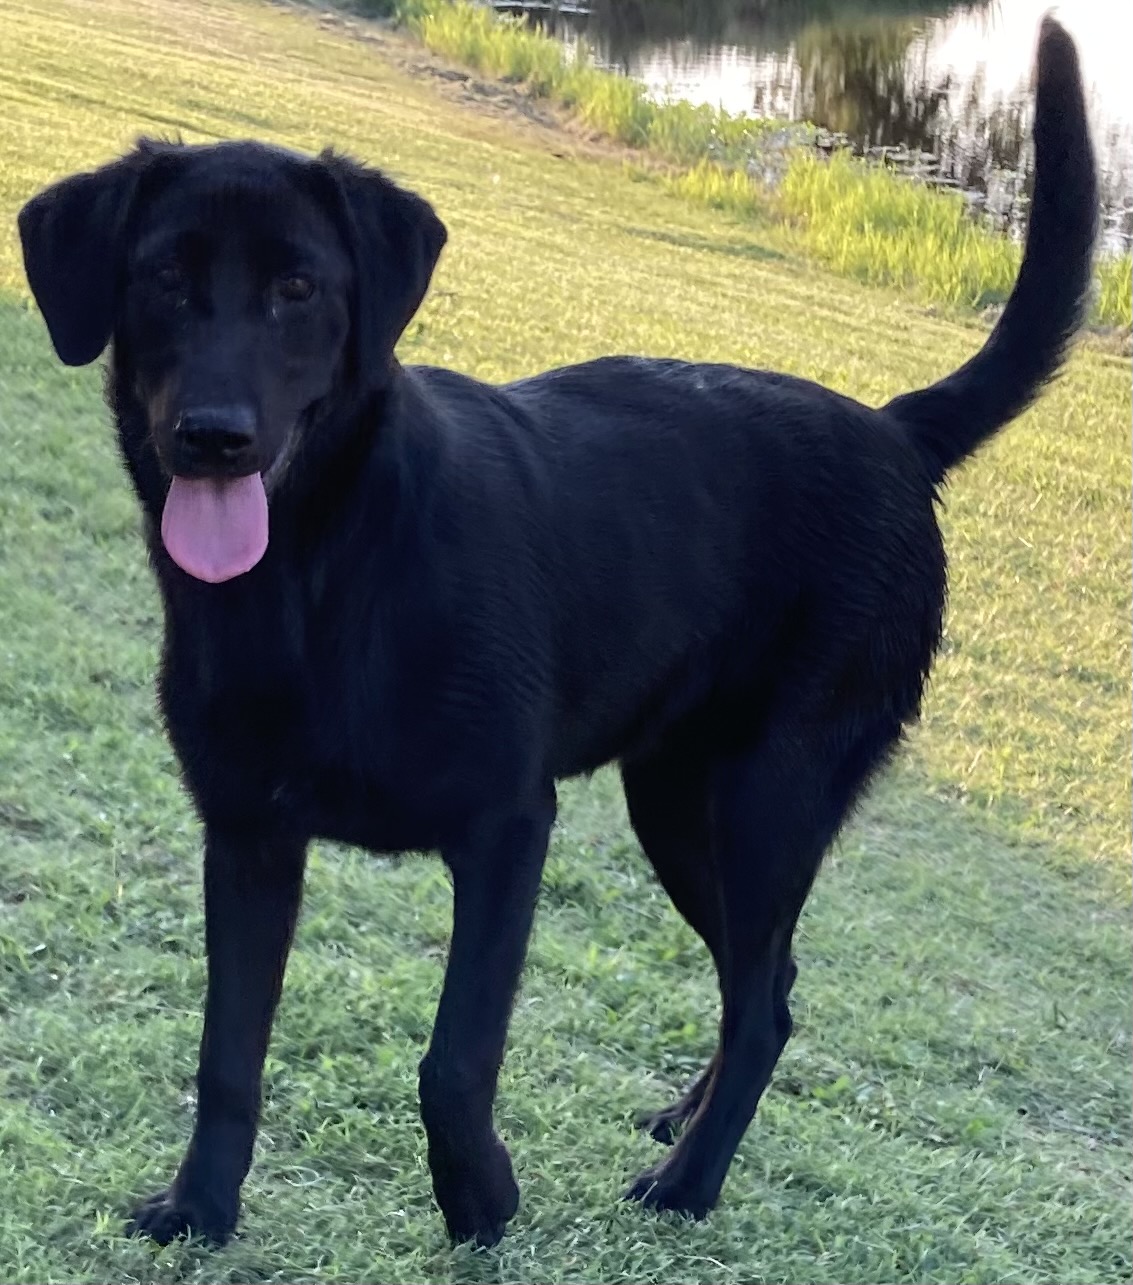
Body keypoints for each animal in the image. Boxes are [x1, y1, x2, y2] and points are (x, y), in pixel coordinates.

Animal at [17, 15, 1094, 1249]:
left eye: (298, 287)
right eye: (163, 280)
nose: (213, 437)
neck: (322, 574)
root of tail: (891, 430)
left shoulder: (505, 829)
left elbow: (454, 1059)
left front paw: (480, 1201)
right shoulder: (247, 838)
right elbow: (226, 1053)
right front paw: (200, 1207)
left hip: (767, 802)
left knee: (760, 1004)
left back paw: (687, 1185)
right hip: (676, 802)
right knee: (765, 984)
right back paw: (684, 1124)